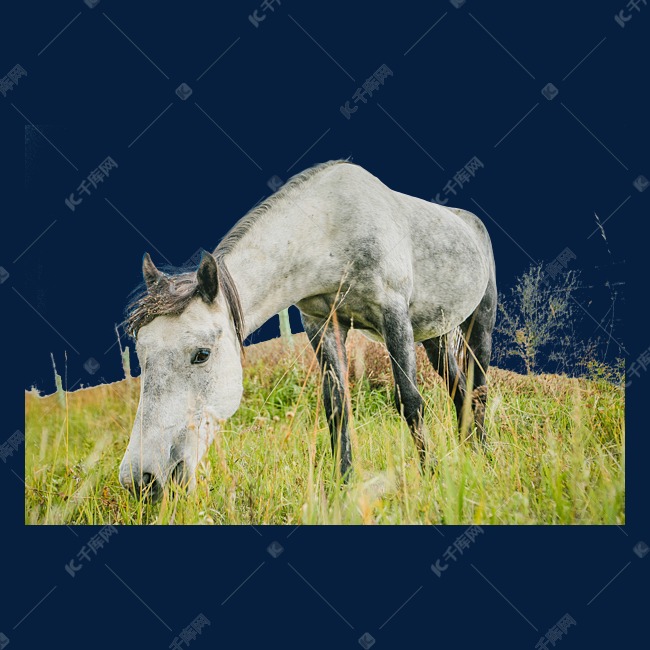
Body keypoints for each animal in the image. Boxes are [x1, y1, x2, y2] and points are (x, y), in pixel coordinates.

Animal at [118, 160, 497, 500]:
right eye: (140, 355)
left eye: (202, 354)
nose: (142, 479)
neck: (331, 226)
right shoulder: (322, 324)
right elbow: (336, 407)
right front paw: (344, 487)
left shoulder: (394, 316)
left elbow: (410, 401)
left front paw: (430, 477)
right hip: (435, 336)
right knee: (459, 390)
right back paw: (469, 453)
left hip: (479, 324)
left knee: (478, 387)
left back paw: (484, 456)